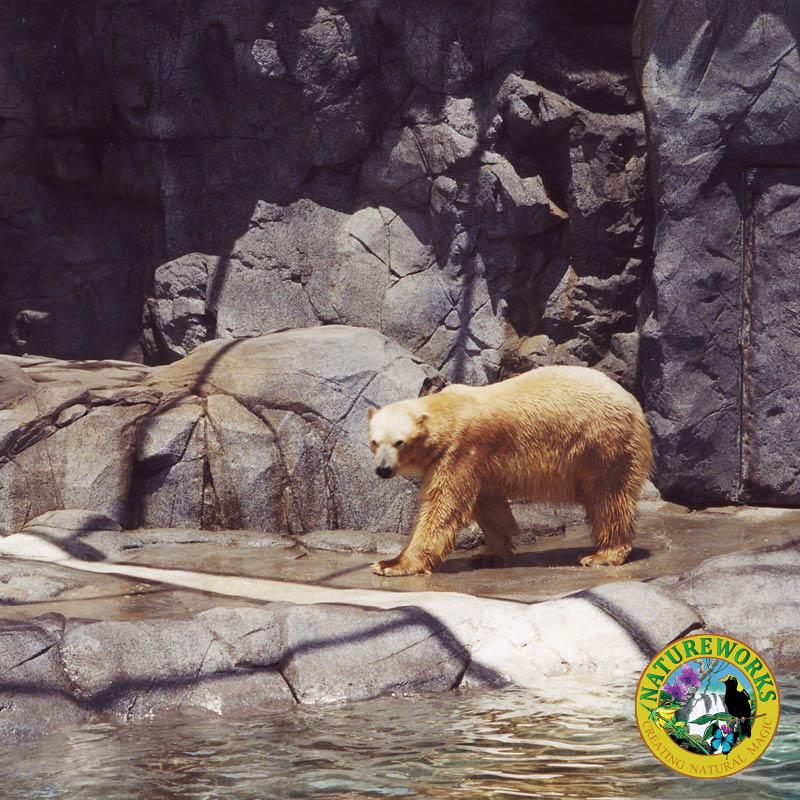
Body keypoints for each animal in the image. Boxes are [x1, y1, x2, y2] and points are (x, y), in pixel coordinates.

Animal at [367, 365, 653, 576]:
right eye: (374, 441)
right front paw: (489, 555)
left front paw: (393, 564)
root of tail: (633, 402)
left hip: (603, 442)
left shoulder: (461, 450)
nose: (383, 469)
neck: (449, 412)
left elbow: (443, 504)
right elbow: (489, 505)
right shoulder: (481, 464)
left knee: (607, 496)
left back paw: (602, 554)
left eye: (399, 442)